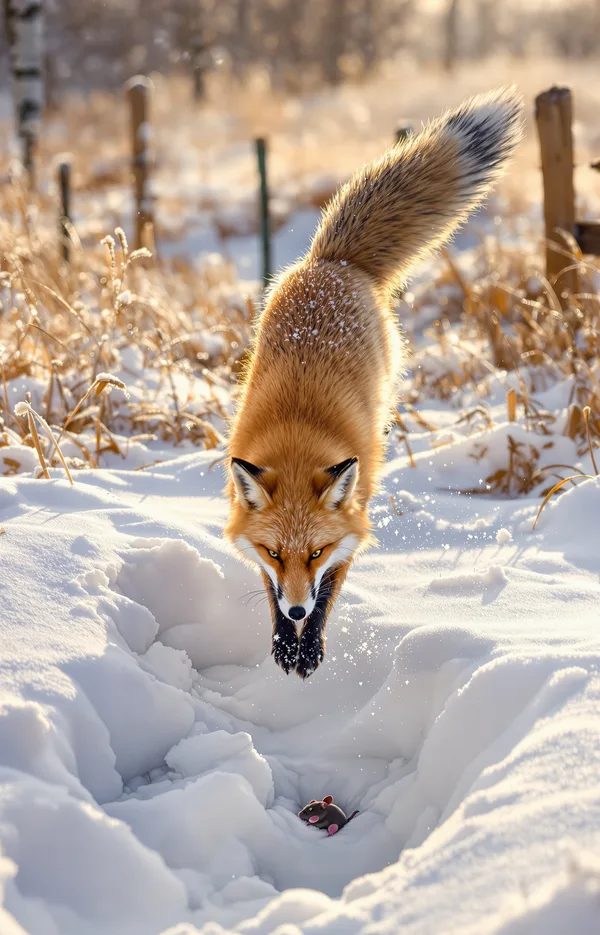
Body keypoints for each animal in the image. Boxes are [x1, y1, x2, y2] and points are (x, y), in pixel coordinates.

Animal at [225, 87, 523, 678]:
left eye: (315, 553)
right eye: (276, 553)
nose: (297, 610)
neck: (296, 438)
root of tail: (331, 262)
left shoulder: (352, 519)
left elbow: (332, 588)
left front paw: (309, 643)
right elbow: (267, 590)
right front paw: (284, 640)